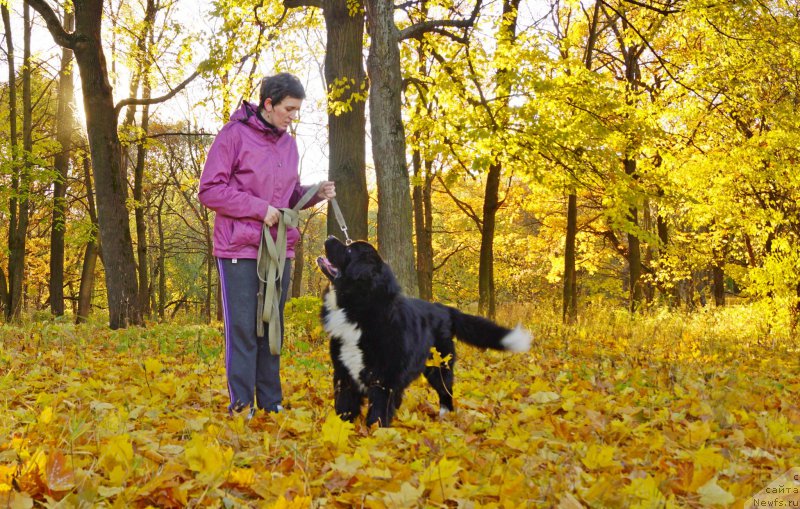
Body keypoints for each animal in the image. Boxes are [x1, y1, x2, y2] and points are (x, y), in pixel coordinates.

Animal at [314, 236, 532, 426]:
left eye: (349, 250)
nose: (330, 236)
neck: (359, 307)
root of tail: (444, 309)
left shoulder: (383, 376)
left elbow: (378, 411)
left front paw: (376, 435)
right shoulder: (344, 372)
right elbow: (344, 407)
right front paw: (342, 430)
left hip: (439, 365)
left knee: (446, 391)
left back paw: (445, 417)